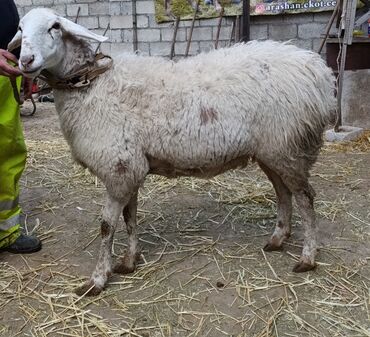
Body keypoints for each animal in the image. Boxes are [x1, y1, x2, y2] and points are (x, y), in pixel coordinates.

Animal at [10, 7, 336, 294]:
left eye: (55, 27)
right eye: (21, 29)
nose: (26, 60)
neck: (94, 86)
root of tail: (318, 71)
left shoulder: (118, 167)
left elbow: (106, 226)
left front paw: (98, 279)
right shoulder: (130, 167)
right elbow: (130, 218)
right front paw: (129, 262)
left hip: (289, 145)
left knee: (305, 198)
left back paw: (307, 257)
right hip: (274, 150)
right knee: (283, 192)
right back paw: (278, 239)